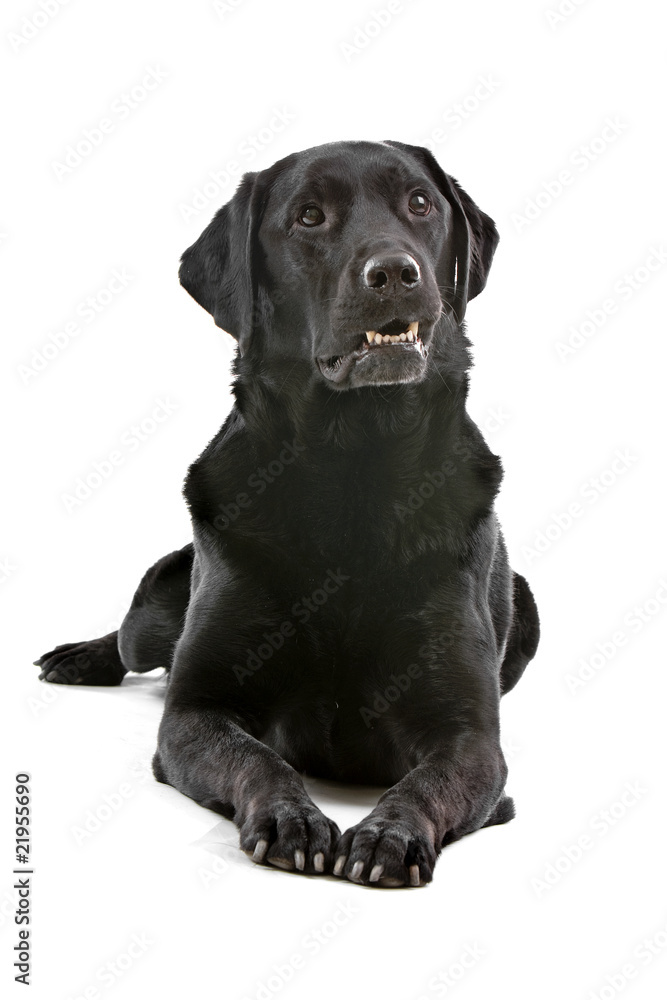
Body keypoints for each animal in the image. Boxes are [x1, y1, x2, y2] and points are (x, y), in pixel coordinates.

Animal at [34, 137, 540, 888]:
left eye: (420, 203)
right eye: (308, 216)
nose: (396, 272)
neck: (353, 474)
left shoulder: (471, 736)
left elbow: (426, 783)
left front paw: (387, 834)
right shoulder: (196, 710)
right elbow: (256, 758)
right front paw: (291, 818)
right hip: (157, 610)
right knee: (128, 642)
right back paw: (78, 657)